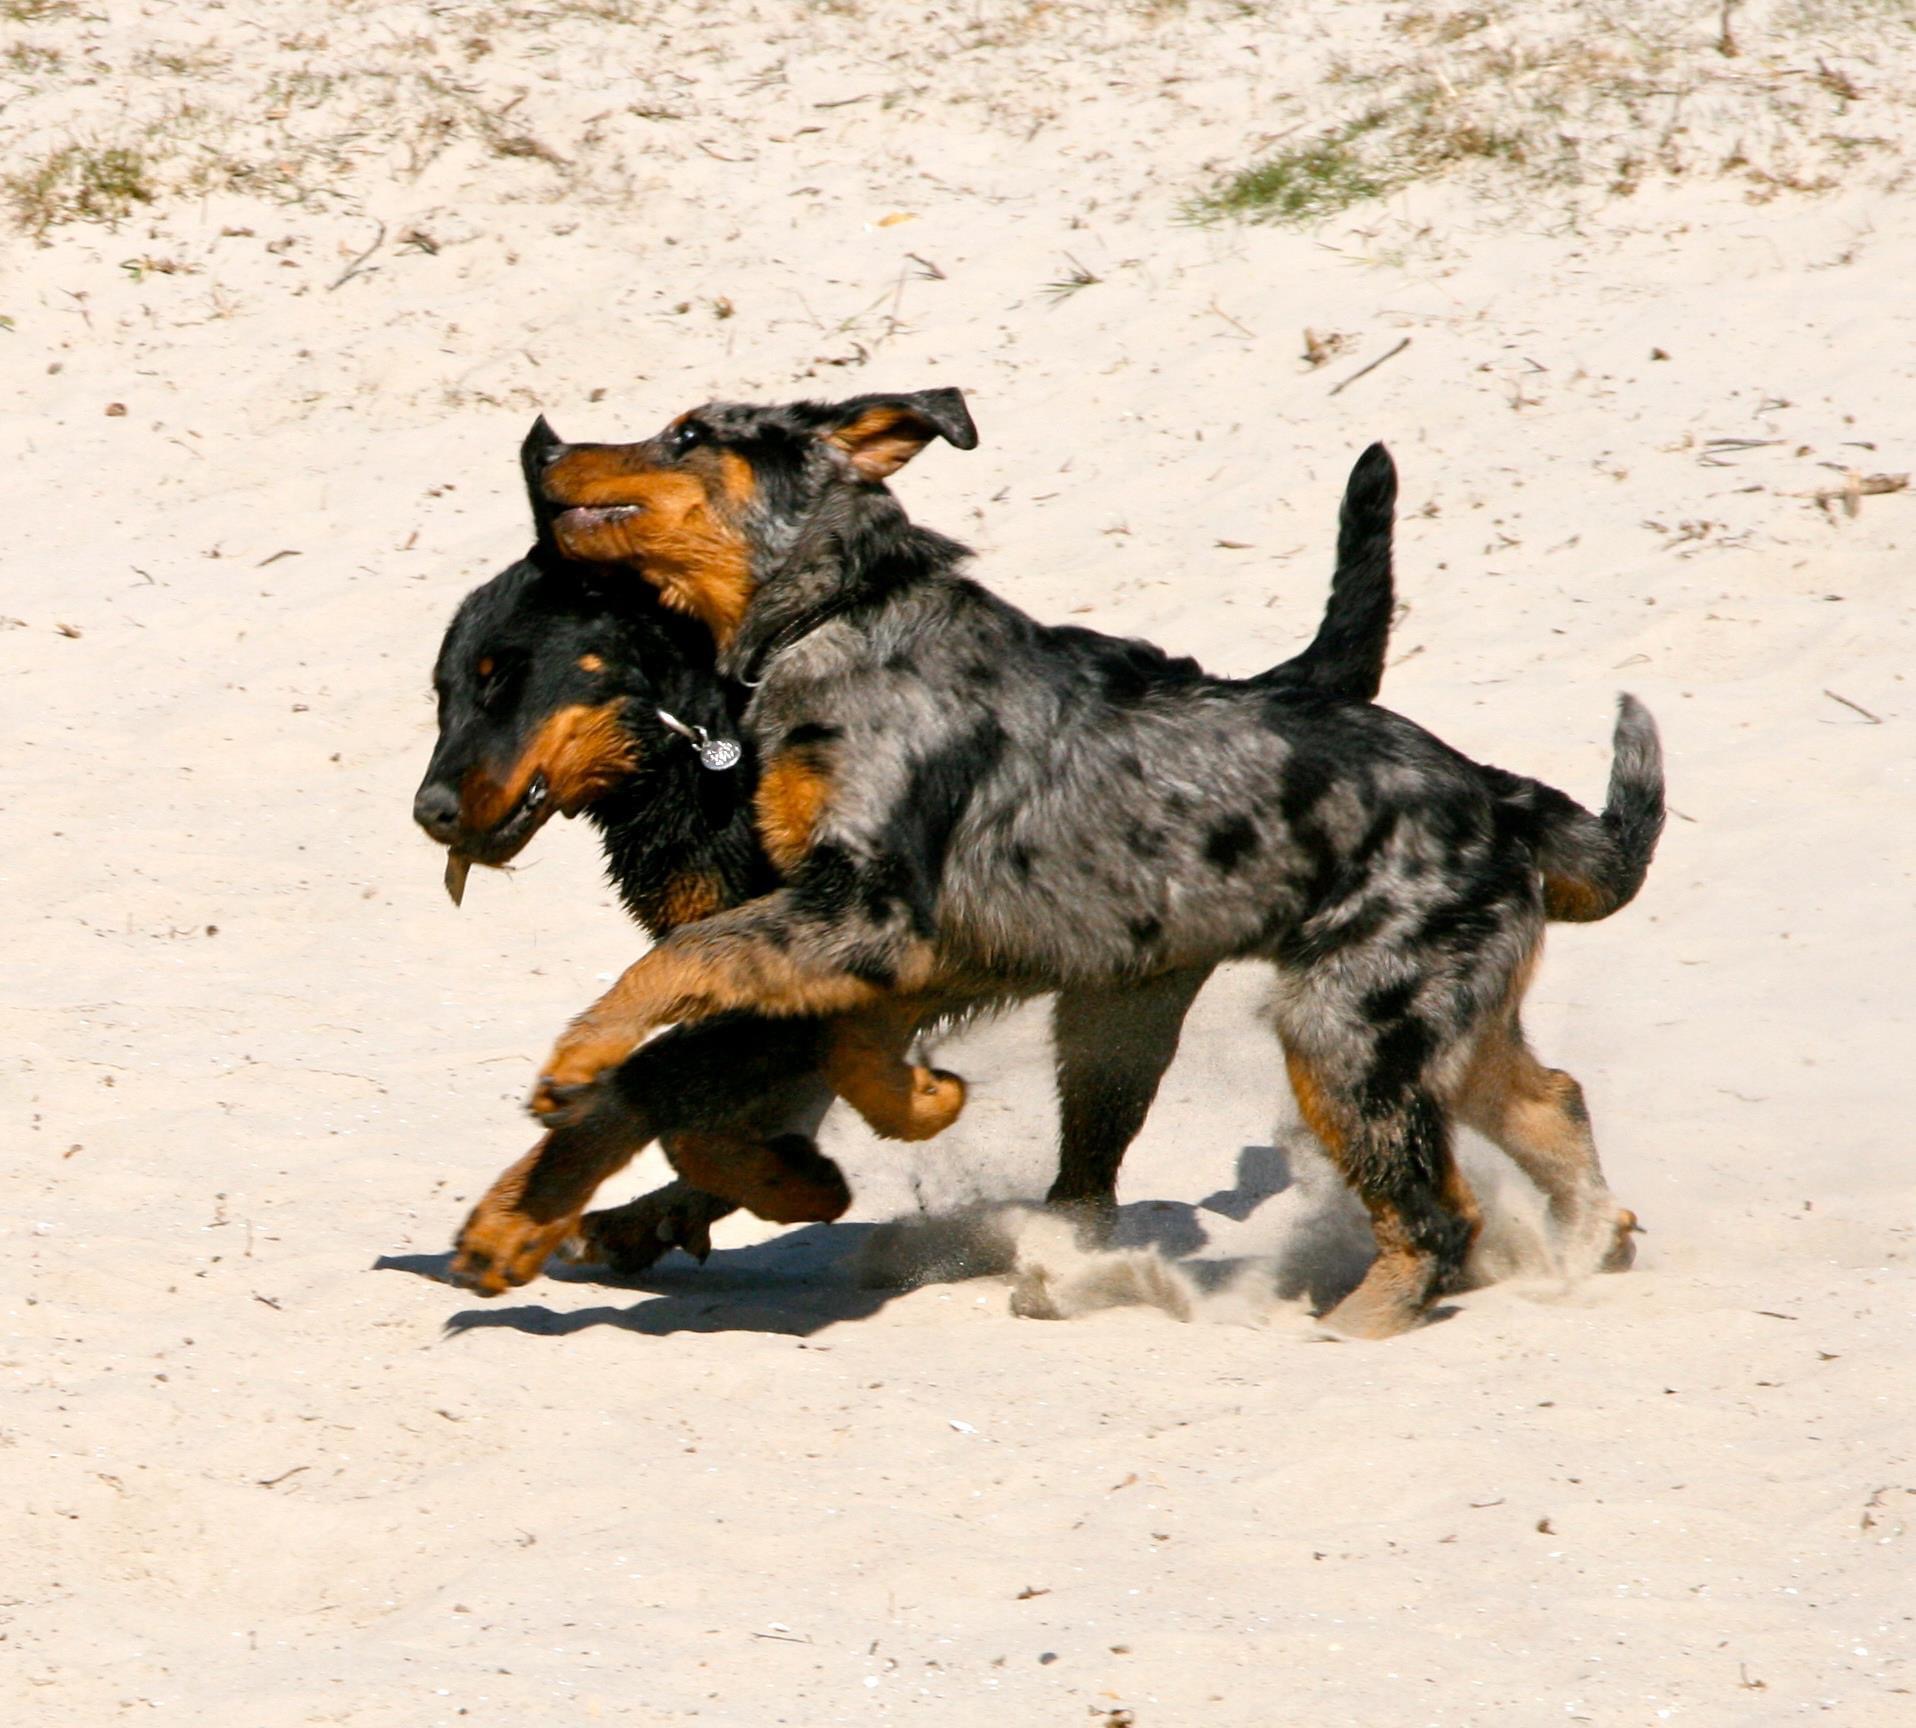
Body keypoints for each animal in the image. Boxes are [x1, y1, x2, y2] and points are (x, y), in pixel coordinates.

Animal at [517, 392, 1670, 1341]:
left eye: (686, 435)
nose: (546, 449)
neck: (842, 614)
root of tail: (1496, 798)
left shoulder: (867, 908)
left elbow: (679, 959)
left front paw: (577, 1057)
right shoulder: (886, 938)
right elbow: (834, 1037)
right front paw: (916, 1100)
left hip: (1344, 1033)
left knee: (1438, 1217)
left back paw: (1342, 1327)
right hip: (1417, 1023)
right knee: (1547, 1100)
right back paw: (1587, 1240)